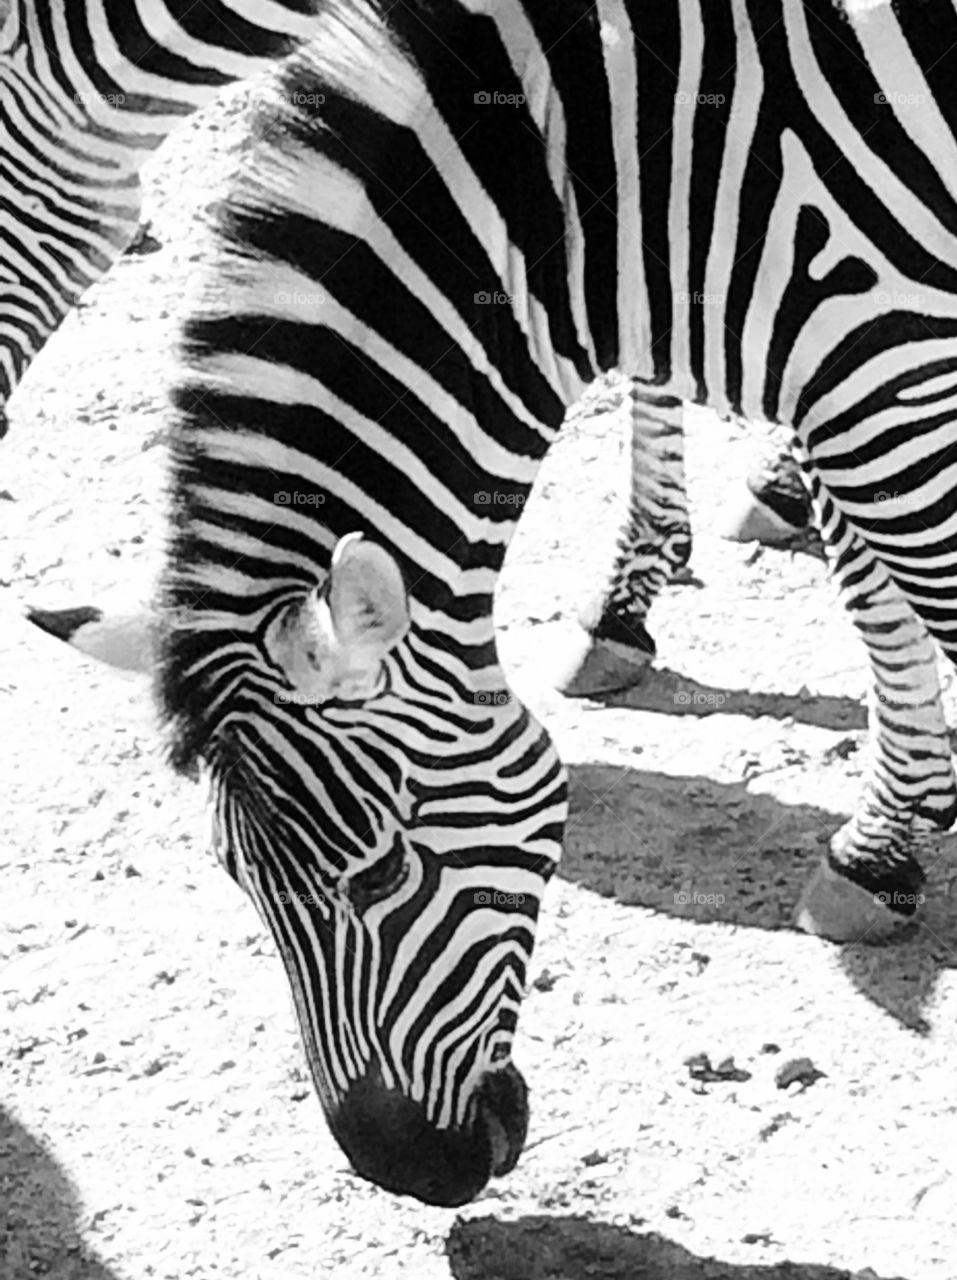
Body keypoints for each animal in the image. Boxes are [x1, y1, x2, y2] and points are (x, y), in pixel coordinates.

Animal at [134, 0, 957, 1206]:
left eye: (382, 869)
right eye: (237, 877)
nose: (405, 1170)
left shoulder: (885, 373)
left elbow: (891, 586)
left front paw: (881, 844)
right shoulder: (841, 378)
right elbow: (872, 583)